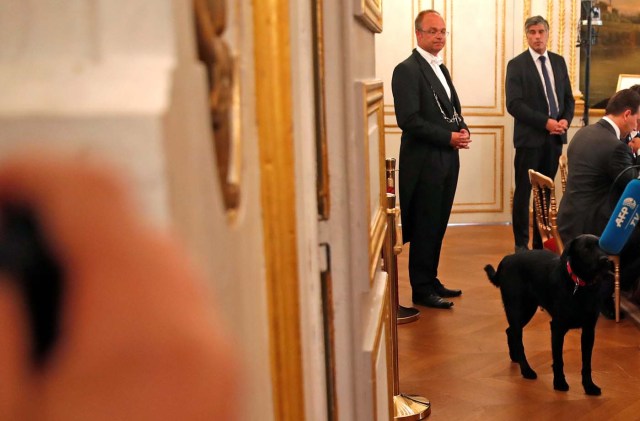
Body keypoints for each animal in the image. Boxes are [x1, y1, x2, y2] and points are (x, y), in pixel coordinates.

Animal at [482, 233, 612, 394]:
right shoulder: (557, 328)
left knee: (509, 331)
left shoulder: (589, 330)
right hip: (517, 309)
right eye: (586, 249)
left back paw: (515, 357)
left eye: (601, 246)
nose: (606, 260)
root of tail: (506, 259)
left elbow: (587, 363)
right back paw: (526, 370)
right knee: (517, 339)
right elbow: (558, 359)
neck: (580, 285)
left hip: (527, 310)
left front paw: (589, 386)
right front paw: (560, 383)